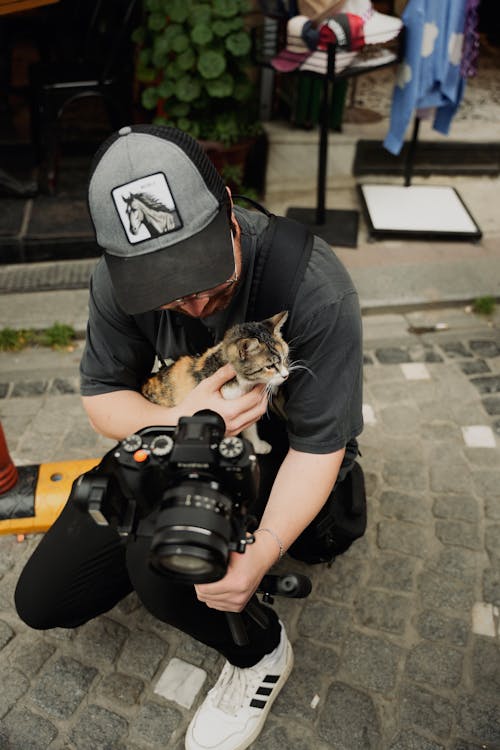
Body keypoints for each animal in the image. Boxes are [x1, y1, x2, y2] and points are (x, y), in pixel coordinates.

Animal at [141, 310, 290, 456]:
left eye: (284, 358)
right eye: (270, 366)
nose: (285, 375)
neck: (242, 382)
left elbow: (250, 426)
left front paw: (257, 445)